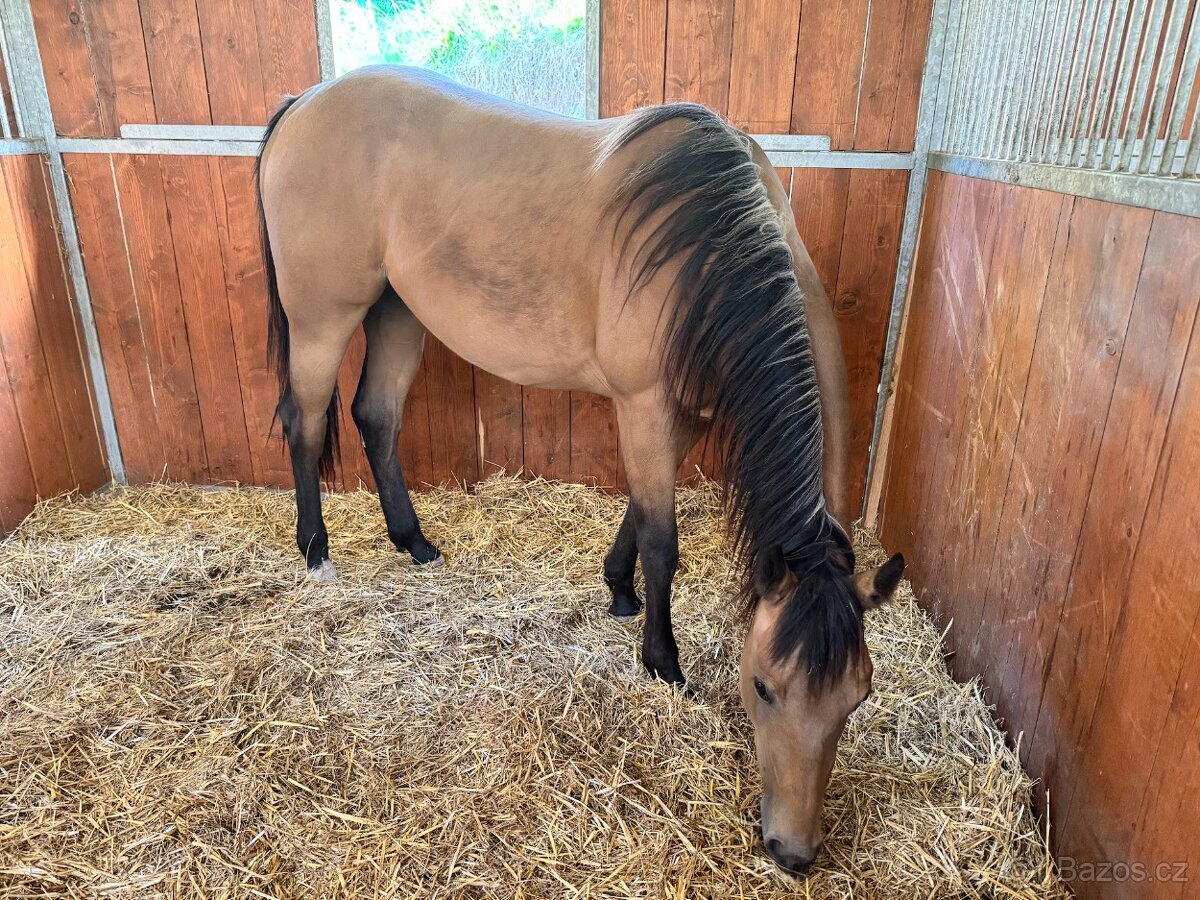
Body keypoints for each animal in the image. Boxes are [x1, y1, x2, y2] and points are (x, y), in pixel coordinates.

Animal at [255, 66, 905, 874]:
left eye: (858, 698)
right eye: (761, 686)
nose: (792, 851)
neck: (710, 244)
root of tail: (304, 103)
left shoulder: (684, 413)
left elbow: (641, 513)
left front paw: (618, 589)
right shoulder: (645, 404)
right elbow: (662, 539)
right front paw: (662, 661)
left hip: (397, 310)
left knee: (375, 417)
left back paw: (414, 542)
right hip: (323, 317)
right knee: (306, 422)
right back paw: (316, 553)